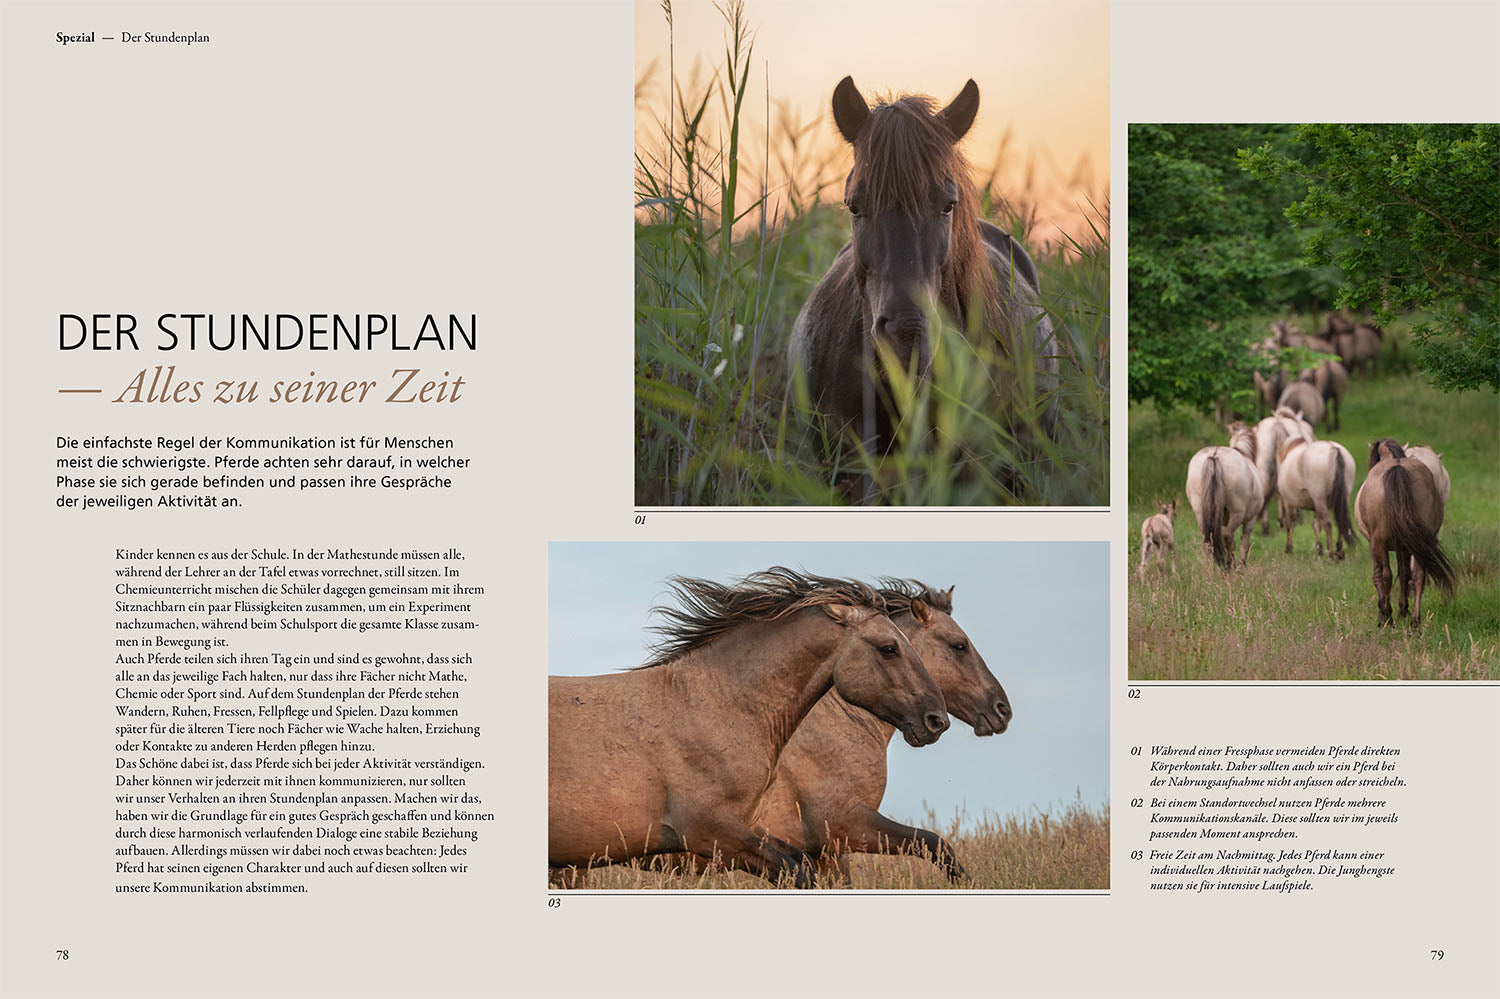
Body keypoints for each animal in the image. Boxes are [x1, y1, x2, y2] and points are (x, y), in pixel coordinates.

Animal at [548, 568, 949, 887]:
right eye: (889, 648)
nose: (936, 720)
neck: (720, 706)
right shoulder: (715, 833)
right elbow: (797, 873)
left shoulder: (755, 829)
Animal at [1186, 422, 1264, 568]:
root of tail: (1214, 455)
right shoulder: (1251, 519)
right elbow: (1245, 541)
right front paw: (1242, 565)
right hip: (1237, 512)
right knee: (1228, 535)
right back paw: (1229, 565)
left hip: (1200, 510)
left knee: (1207, 537)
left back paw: (1210, 567)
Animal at [1353, 439, 1456, 628]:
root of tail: (1398, 468)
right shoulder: (1405, 547)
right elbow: (1404, 574)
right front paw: (1403, 609)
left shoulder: (1375, 545)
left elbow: (1381, 576)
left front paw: (1384, 614)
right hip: (1419, 543)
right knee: (1419, 576)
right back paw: (1415, 622)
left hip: (1379, 543)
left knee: (1385, 575)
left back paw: (1388, 618)